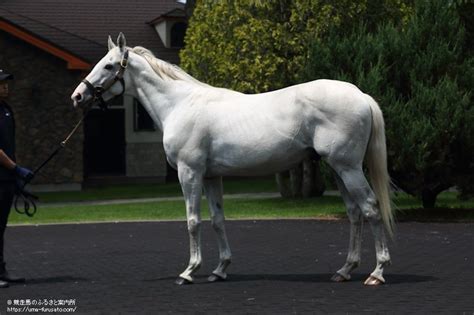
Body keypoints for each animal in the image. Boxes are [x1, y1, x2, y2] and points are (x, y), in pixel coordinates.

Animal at [71, 34, 396, 286]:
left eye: (109, 65)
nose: (77, 96)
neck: (180, 104)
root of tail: (361, 95)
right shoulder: (211, 176)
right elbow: (217, 220)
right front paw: (220, 269)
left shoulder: (190, 173)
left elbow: (193, 220)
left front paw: (189, 272)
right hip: (339, 169)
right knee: (354, 213)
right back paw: (345, 270)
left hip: (348, 168)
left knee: (370, 208)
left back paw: (377, 272)